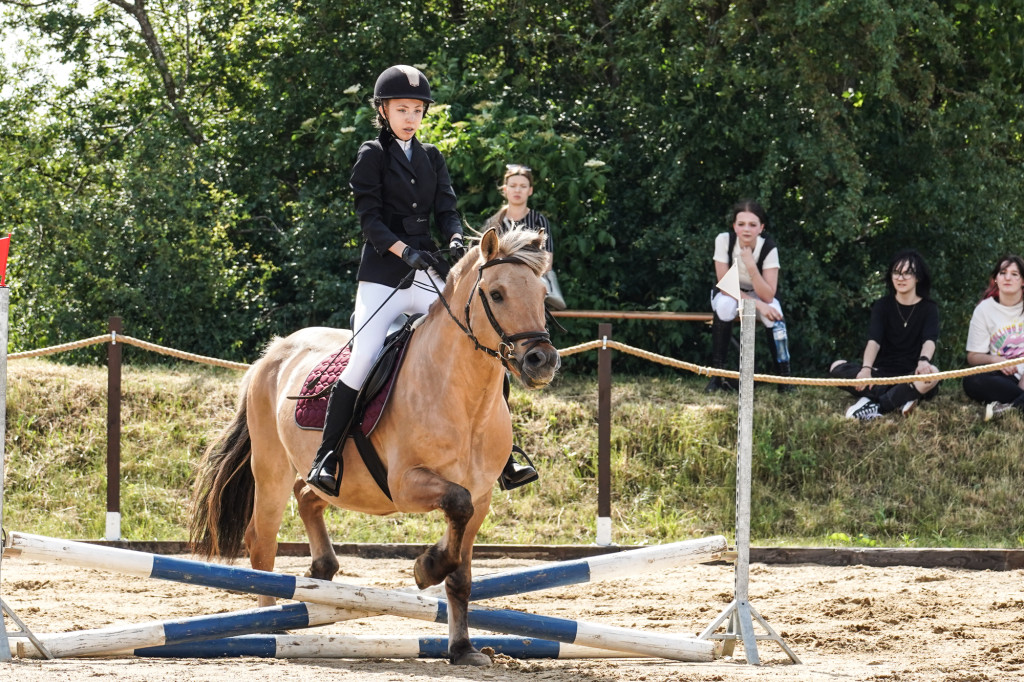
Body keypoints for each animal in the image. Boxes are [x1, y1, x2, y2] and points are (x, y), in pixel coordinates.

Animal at [192, 225, 561, 659]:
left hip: (341, 481)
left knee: (309, 496)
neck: (462, 396)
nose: (542, 361)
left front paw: (462, 648)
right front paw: (427, 566)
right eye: (498, 293)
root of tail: (274, 351)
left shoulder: (481, 495)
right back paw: (268, 626)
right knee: (262, 541)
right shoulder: (405, 484)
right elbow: (456, 505)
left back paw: (321, 571)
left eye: (542, 296)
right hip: (271, 469)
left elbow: (461, 568)